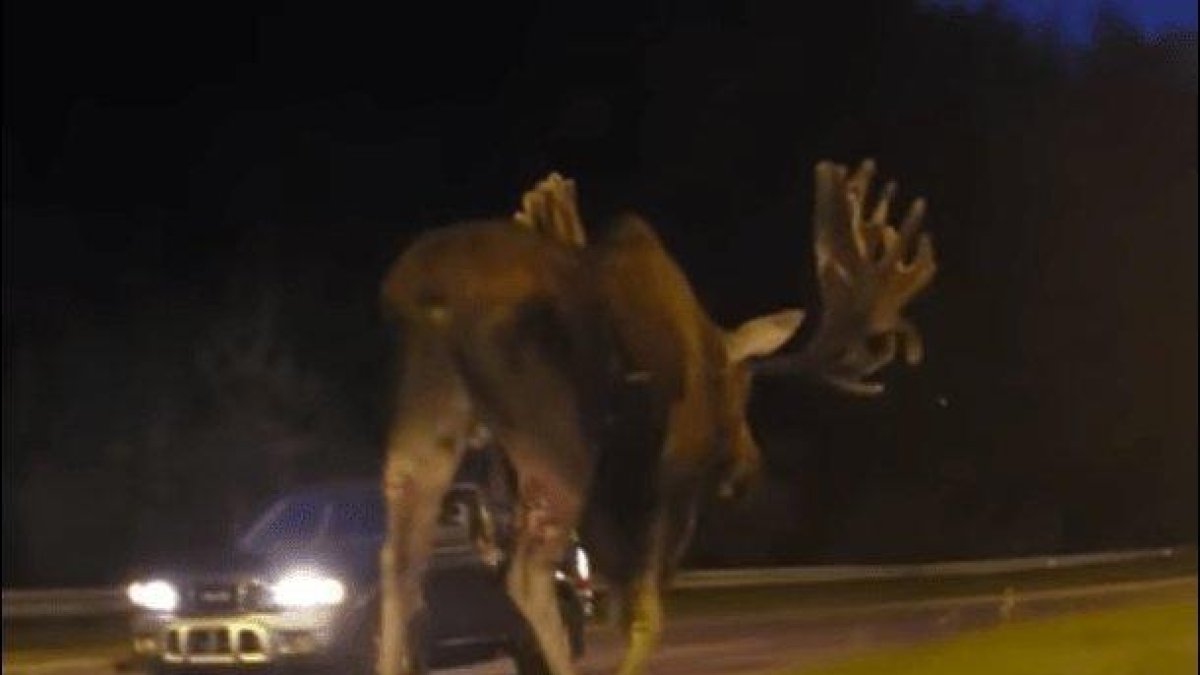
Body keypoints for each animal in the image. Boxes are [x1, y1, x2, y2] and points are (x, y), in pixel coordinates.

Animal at [374, 158, 936, 672]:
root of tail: (425, 286)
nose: (747, 468)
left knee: (401, 561)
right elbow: (646, 611)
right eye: (744, 394)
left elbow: (619, 603)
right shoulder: (672, 477)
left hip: (431, 410)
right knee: (526, 574)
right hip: (555, 434)